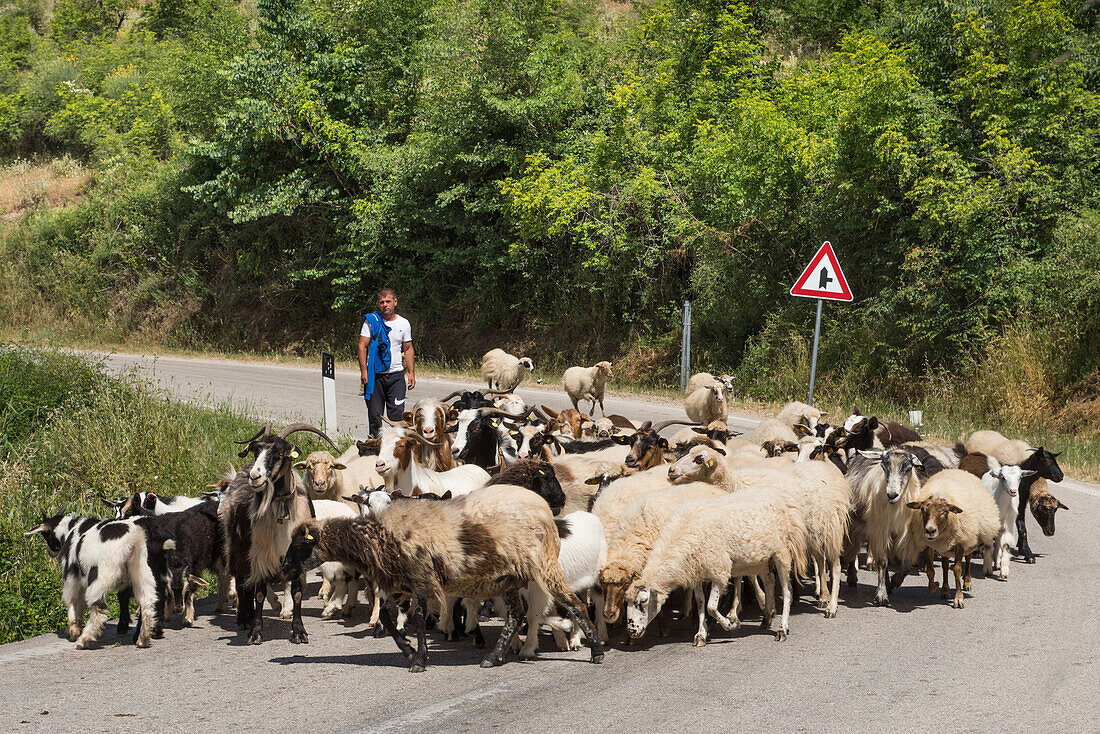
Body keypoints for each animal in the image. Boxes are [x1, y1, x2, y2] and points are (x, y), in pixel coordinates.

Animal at [275, 484, 602, 673]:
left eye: (302, 544)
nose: (284, 571)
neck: (378, 536)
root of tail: (544, 508)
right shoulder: (402, 583)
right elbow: (388, 618)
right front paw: (407, 649)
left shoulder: (422, 579)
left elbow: (419, 619)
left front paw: (419, 660)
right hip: (507, 577)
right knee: (516, 615)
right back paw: (493, 657)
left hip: (543, 565)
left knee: (573, 603)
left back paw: (596, 651)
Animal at [629, 484, 809, 647]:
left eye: (643, 601)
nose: (631, 631)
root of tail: (781, 496)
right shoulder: (697, 573)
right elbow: (700, 603)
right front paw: (701, 635)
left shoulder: (719, 571)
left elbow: (710, 607)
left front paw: (732, 624)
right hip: (763, 558)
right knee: (770, 581)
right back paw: (766, 619)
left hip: (782, 552)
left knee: (787, 590)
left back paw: (782, 629)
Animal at [906, 470, 1003, 607]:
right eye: (923, 510)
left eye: (944, 512)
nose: (930, 531)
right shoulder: (928, 544)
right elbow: (930, 571)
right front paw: (935, 586)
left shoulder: (961, 544)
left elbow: (957, 569)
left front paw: (959, 598)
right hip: (945, 547)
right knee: (945, 566)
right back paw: (945, 590)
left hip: (969, 540)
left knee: (968, 559)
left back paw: (967, 582)